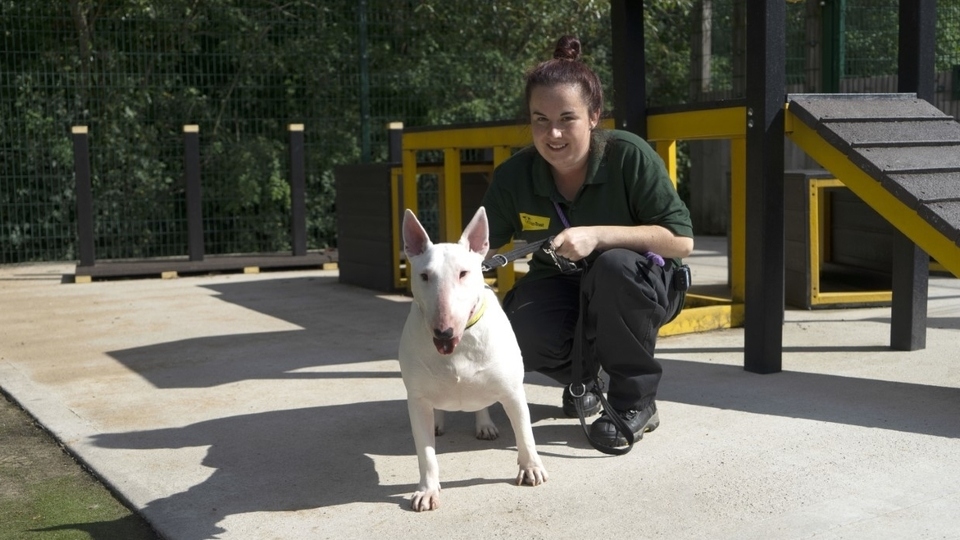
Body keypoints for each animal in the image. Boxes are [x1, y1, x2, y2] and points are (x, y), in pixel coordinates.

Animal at [398, 206, 548, 510]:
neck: (459, 346)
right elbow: (426, 453)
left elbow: (524, 432)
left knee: (482, 403)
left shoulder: (513, 391)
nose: (443, 331)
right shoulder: (416, 400)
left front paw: (531, 468)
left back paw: (485, 425)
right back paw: (439, 422)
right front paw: (427, 491)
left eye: (464, 273)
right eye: (424, 276)